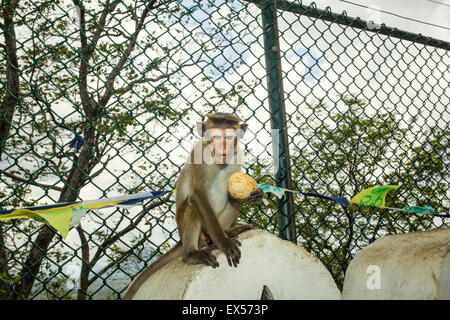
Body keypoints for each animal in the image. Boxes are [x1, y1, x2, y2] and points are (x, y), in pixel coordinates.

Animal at [123, 112, 264, 300]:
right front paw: (224, 244)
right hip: (193, 231)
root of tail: (181, 241)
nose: (223, 148)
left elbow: (234, 192)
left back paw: (228, 232)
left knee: (231, 199)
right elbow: (198, 195)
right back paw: (194, 252)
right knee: (192, 207)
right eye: (216, 136)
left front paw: (256, 194)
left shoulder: (237, 156)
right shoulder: (200, 154)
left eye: (228, 137)